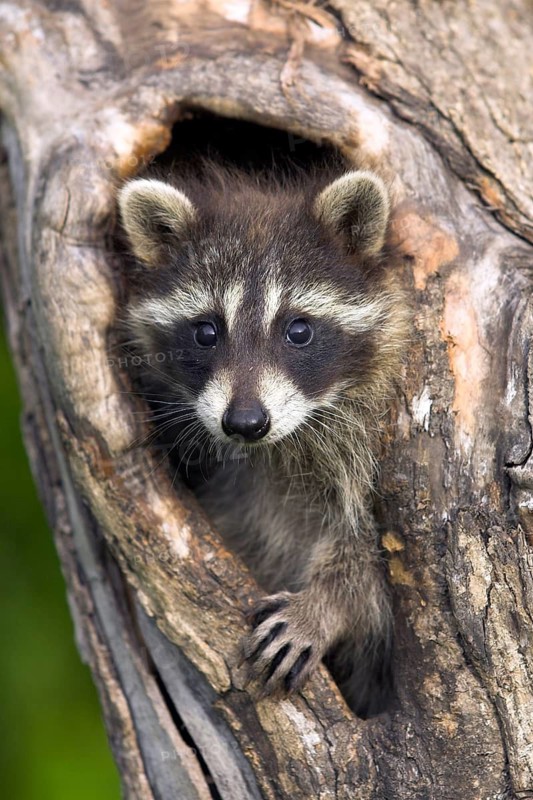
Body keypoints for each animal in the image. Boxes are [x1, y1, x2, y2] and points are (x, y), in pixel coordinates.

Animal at [118, 160, 408, 716]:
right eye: (206, 332)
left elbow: (366, 561)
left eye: (298, 330)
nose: (246, 421)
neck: (273, 449)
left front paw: (323, 607)